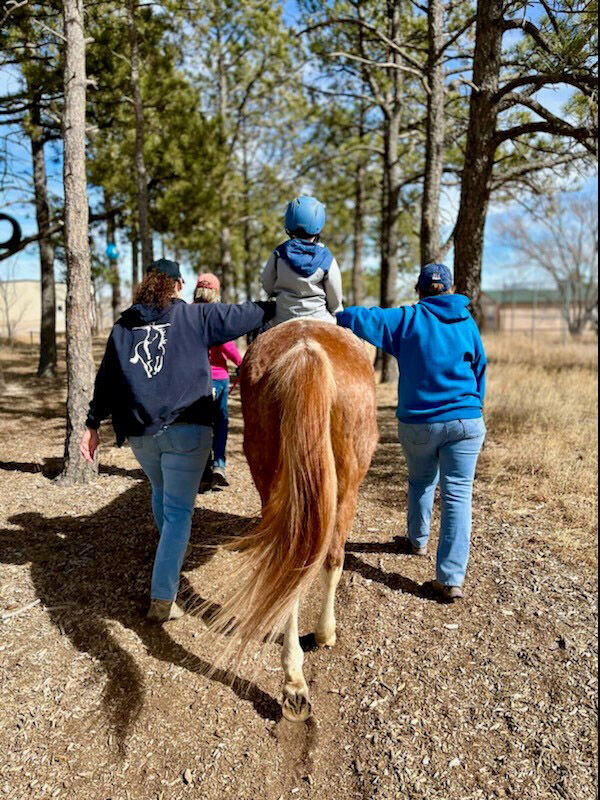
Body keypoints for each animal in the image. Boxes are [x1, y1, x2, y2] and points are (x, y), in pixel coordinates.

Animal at [205, 319, 378, 722]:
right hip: (347, 488)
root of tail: (305, 348)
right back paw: (314, 649)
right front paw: (325, 636)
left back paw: (294, 681)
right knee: (323, 561)